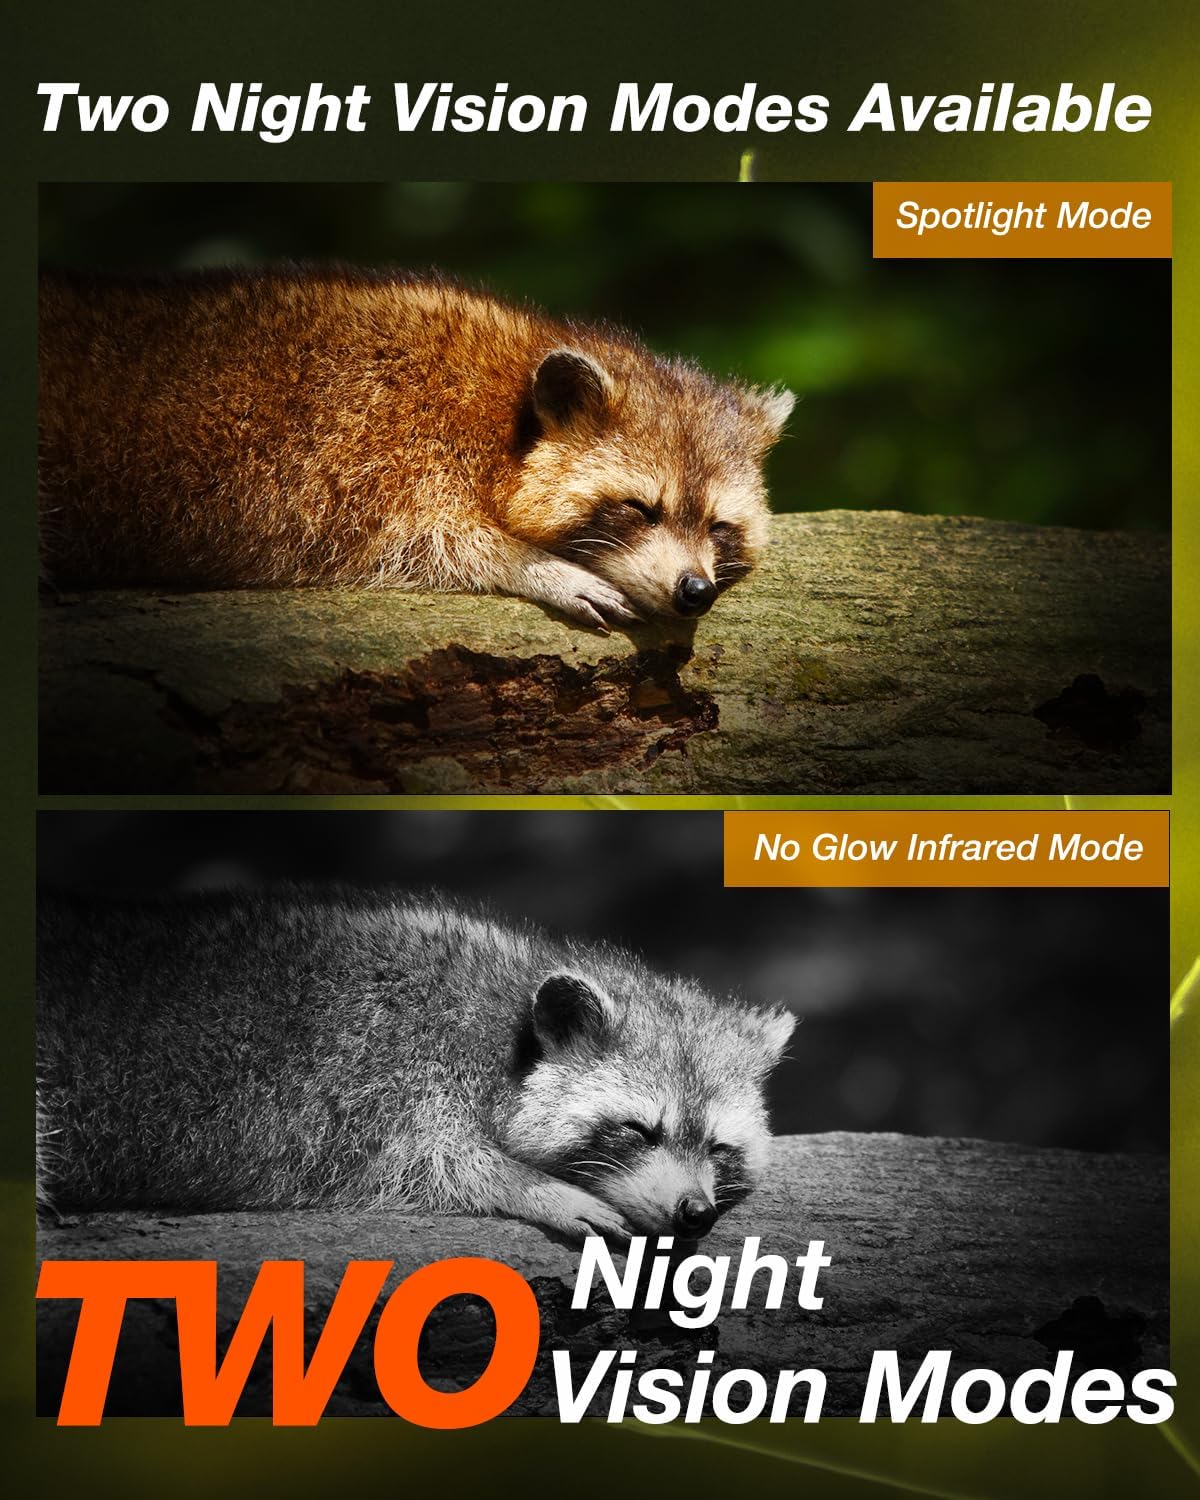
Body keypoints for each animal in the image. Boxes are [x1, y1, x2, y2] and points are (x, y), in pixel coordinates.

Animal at [36, 888, 795, 1240]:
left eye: (718, 1147)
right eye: (637, 1131)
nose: (695, 1213)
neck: (506, 1035)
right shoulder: (379, 1074)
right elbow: (428, 1160)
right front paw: (528, 1184)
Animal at [38, 266, 794, 629]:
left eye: (719, 526)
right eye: (639, 509)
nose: (694, 591)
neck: (506, 419)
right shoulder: (366, 450)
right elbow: (423, 540)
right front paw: (527, 563)